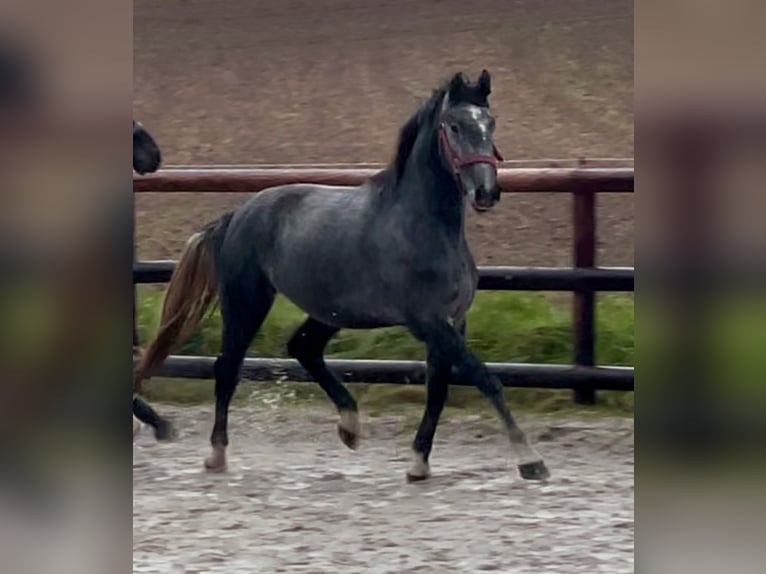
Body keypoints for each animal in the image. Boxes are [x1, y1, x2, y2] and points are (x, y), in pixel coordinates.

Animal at [135, 72, 548, 484]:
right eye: (454, 126)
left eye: (490, 123)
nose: (486, 192)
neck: (421, 226)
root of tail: (236, 215)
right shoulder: (428, 322)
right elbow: (485, 378)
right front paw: (530, 461)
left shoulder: (453, 322)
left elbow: (439, 391)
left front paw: (418, 463)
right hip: (247, 301)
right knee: (228, 367)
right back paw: (215, 454)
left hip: (331, 310)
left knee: (303, 347)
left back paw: (349, 425)